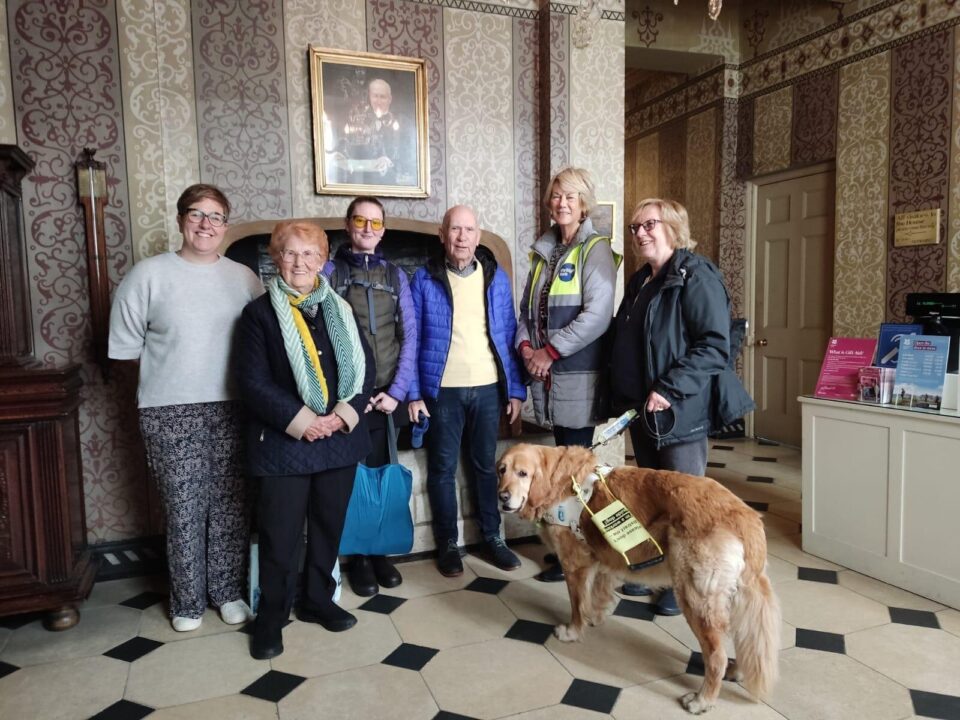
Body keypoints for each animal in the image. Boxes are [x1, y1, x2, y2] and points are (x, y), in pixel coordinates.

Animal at [496, 444, 780, 716]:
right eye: (501, 470)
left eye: (523, 473)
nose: (502, 498)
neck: (559, 481)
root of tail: (746, 516)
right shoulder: (602, 559)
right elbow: (598, 594)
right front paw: (597, 617)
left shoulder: (574, 564)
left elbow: (577, 605)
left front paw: (573, 631)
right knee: (743, 639)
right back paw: (736, 671)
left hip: (695, 597)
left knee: (716, 657)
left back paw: (703, 700)